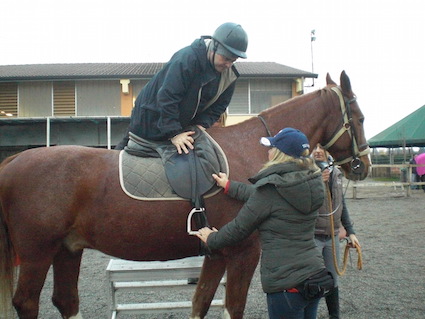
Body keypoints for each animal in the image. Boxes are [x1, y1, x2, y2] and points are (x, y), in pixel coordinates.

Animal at [0, 71, 368, 318]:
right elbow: (232, 306)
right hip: (37, 254)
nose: (362, 165)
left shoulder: (217, 251)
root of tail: (13, 160)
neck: (257, 150)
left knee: (66, 301)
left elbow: (201, 301)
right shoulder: (243, 252)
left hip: (67, 250)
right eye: (360, 117)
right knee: (27, 302)